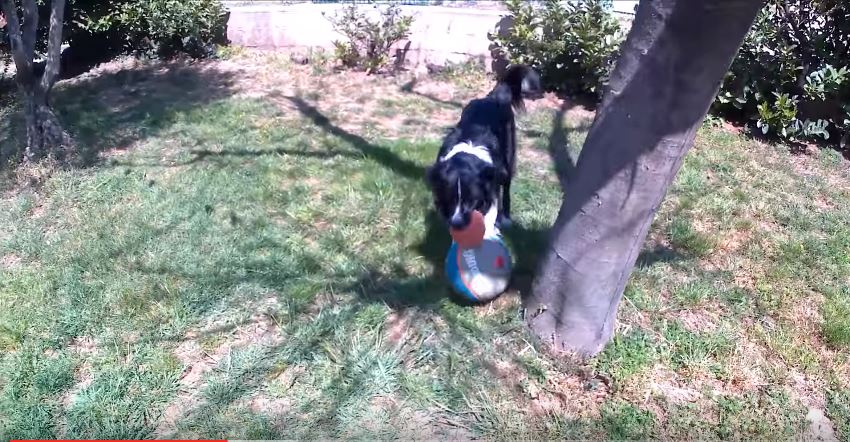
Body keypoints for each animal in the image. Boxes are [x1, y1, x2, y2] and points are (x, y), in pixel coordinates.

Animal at [424, 64, 544, 235]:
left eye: (472, 200)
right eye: (450, 199)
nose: (457, 224)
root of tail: (493, 97)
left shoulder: (492, 182)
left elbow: (491, 211)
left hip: (508, 158)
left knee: (507, 186)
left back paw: (506, 218)